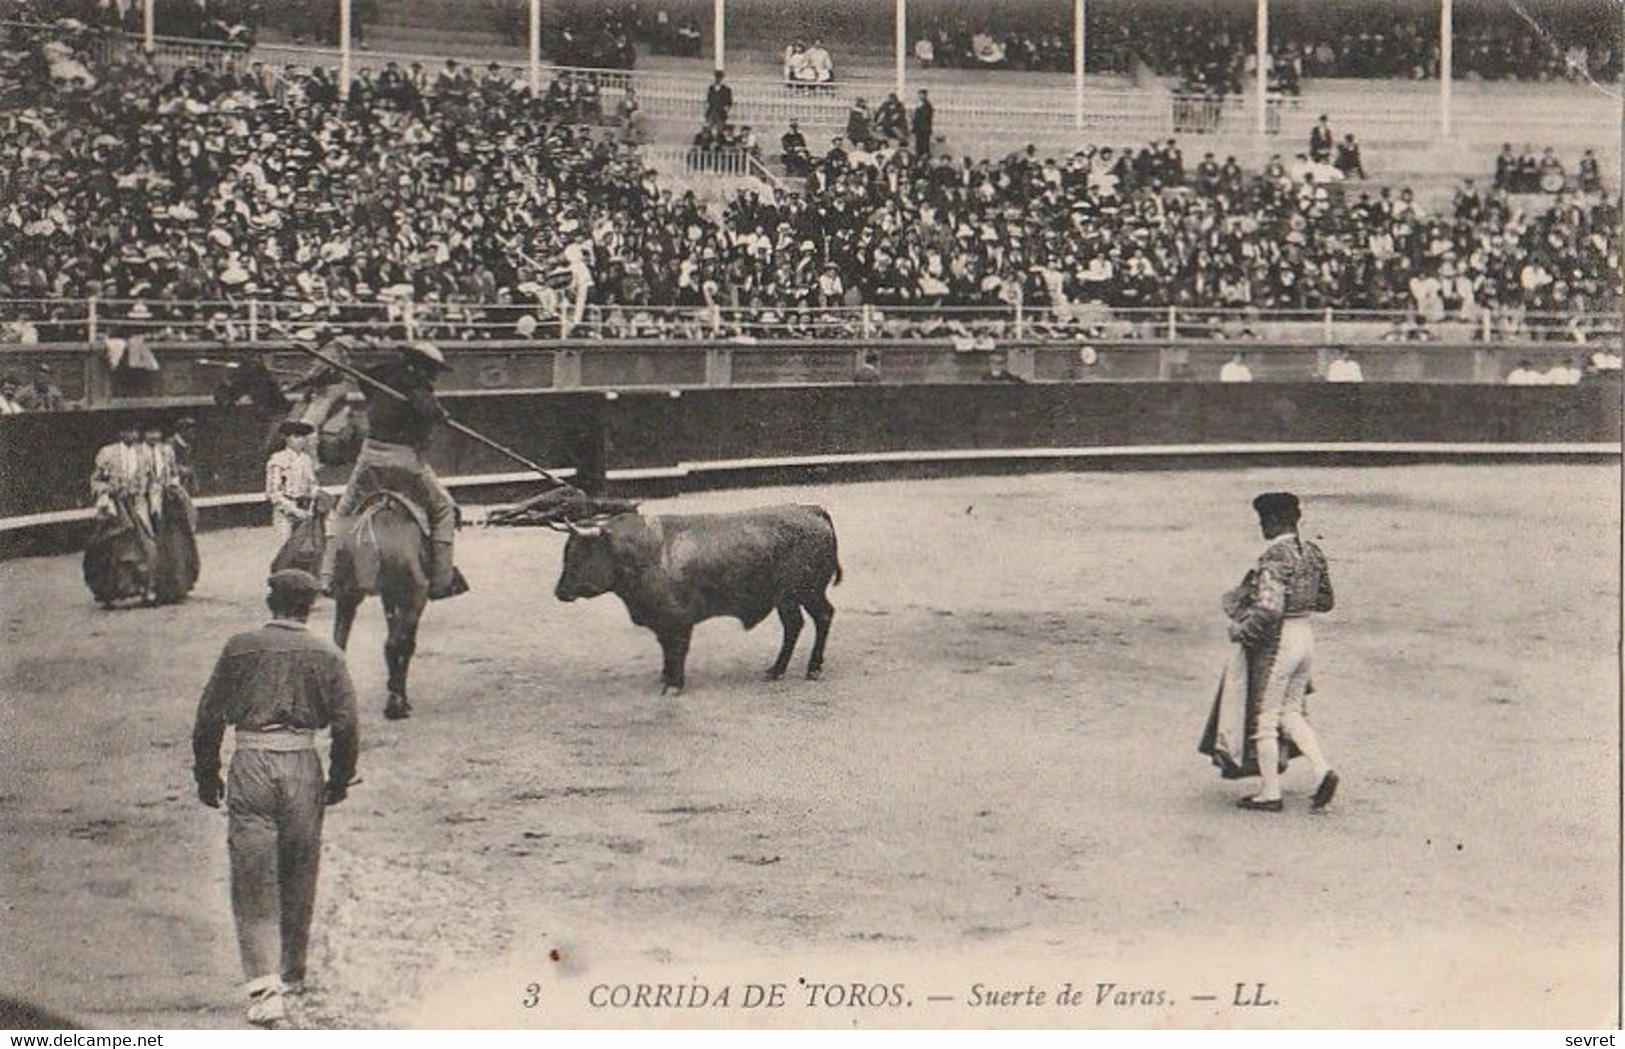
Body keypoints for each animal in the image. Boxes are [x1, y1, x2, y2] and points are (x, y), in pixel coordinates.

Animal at [555, 506, 845, 695]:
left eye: (578, 554)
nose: (559, 592)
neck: (644, 554)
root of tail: (812, 511)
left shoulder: (678, 620)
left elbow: (677, 649)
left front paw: (674, 685)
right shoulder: (661, 622)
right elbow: (666, 649)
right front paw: (665, 678)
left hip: (806, 592)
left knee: (819, 617)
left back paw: (811, 669)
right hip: (789, 599)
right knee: (797, 624)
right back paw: (777, 670)